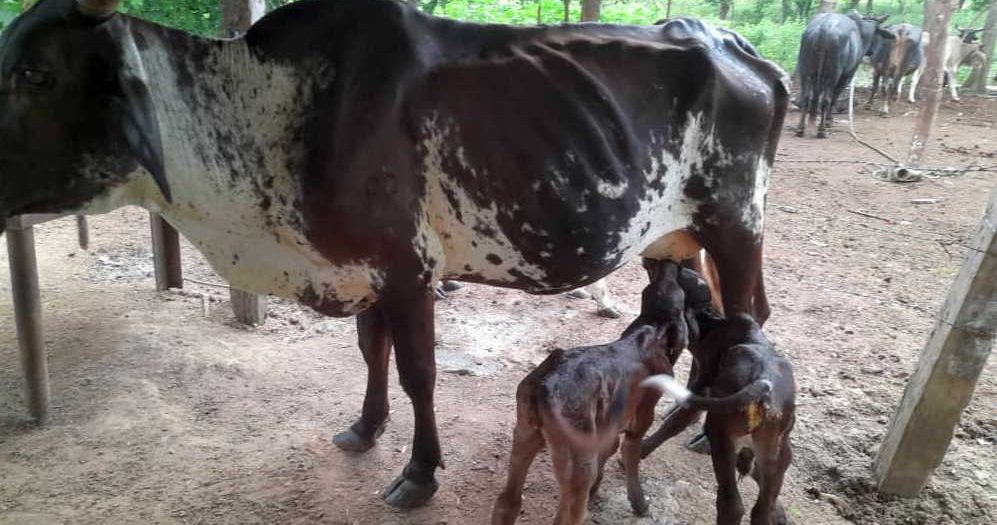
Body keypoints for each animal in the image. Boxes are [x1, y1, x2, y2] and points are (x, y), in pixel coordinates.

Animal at [1, 1, 792, 508]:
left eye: (34, 74)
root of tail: (742, 52)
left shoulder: (409, 272)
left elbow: (417, 372)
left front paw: (419, 472)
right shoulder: (363, 270)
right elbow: (369, 351)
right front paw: (365, 426)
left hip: (737, 222)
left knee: (751, 311)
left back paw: (719, 439)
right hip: (678, 241)